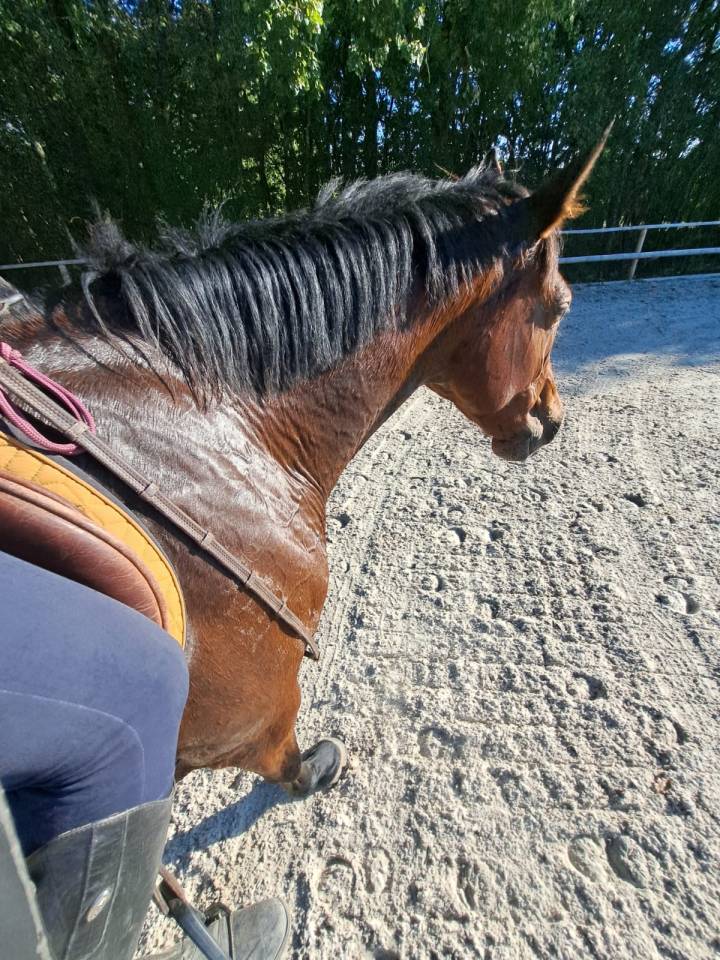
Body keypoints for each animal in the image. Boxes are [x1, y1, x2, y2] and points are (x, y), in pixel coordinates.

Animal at [0, 129, 609, 794]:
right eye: (561, 306)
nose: (552, 420)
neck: (217, 423)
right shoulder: (257, 716)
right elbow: (292, 765)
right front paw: (323, 763)